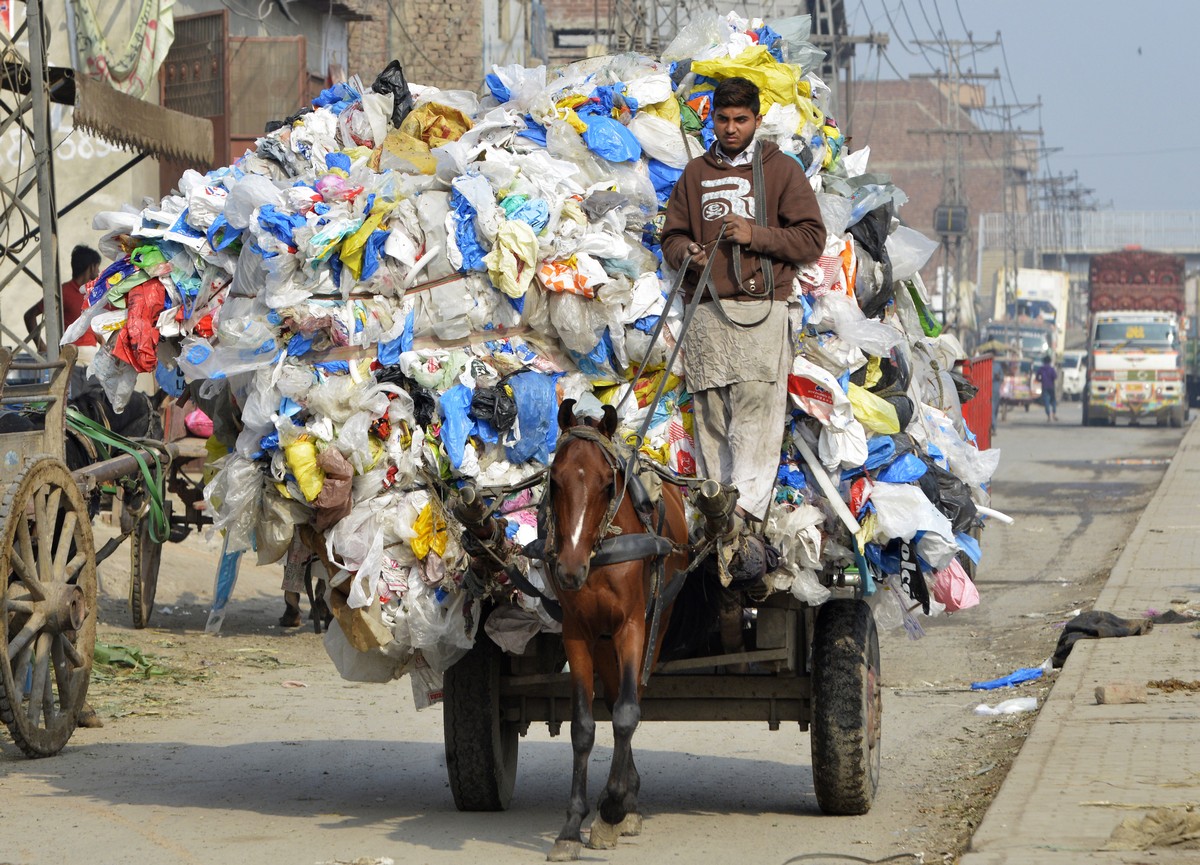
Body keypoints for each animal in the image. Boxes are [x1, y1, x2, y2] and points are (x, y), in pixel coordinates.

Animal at [547, 400, 696, 859]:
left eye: (605, 484)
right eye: (554, 481)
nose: (569, 570)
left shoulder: (632, 626)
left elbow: (628, 714)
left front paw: (613, 806)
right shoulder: (577, 632)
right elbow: (584, 726)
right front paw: (571, 825)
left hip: (657, 620)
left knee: (631, 699)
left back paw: (623, 804)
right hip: (602, 638)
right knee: (613, 696)